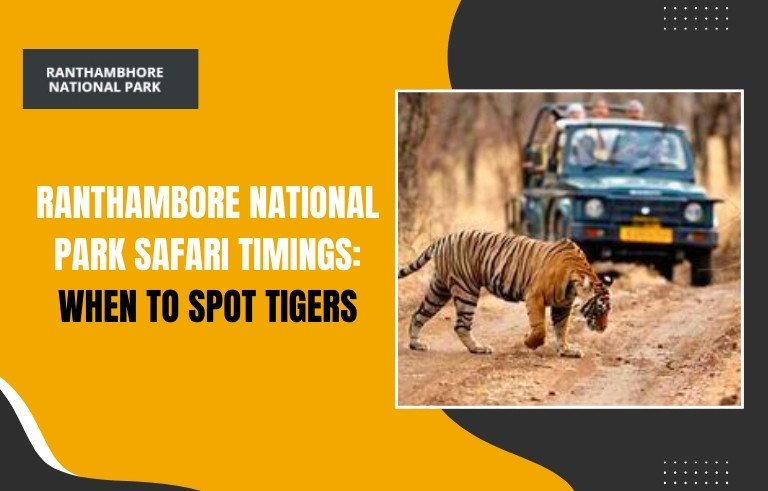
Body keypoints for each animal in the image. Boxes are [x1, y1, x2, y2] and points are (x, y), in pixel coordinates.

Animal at [398, 230, 611, 358]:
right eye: (599, 309)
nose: (603, 328)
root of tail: (443, 238)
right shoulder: (534, 296)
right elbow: (540, 329)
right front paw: (528, 341)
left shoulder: (562, 305)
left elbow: (561, 328)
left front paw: (566, 350)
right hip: (467, 290)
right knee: (461, 325)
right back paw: (478, 348)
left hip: (439, 289)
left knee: (418, 314)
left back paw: (416, 344)